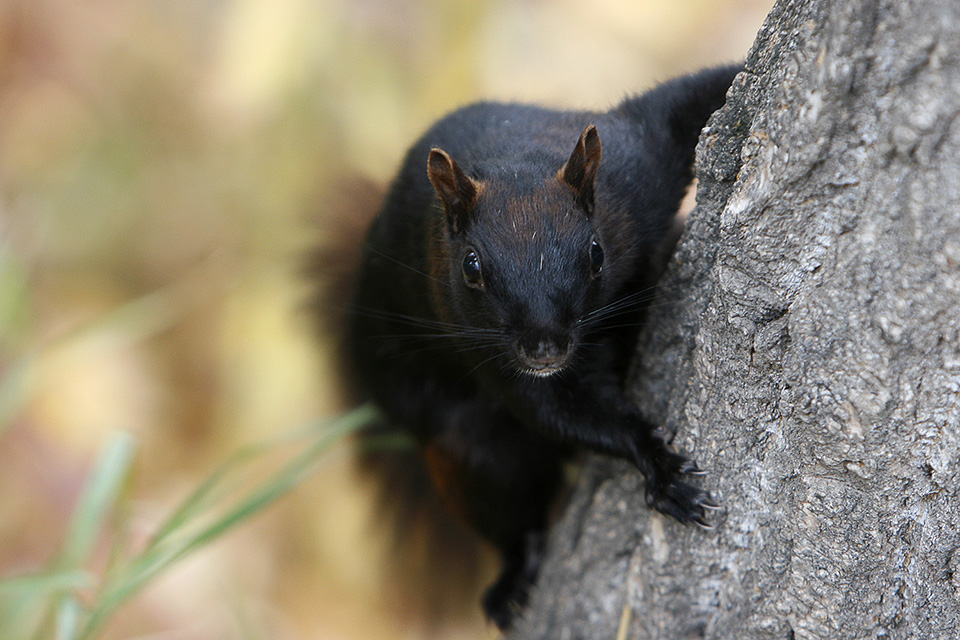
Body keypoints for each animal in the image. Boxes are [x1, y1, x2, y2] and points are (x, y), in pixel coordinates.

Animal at [344, 66, 744, 632]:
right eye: (471, 267)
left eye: (595, 253)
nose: (544, 349)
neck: (512, 155)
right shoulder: (480, 346)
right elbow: (559, 410)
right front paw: (659, 464)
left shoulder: (639, 163)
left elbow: (689, 101)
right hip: (474, 450)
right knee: (505, 505)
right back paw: (510, 579)